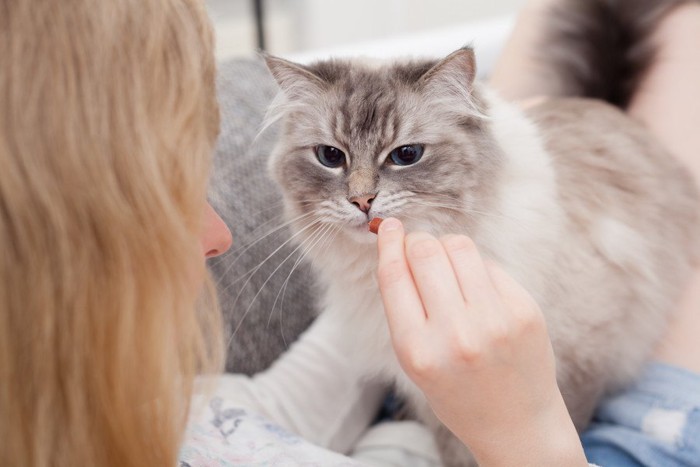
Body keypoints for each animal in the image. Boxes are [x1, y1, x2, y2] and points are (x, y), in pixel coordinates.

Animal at [262, 12, 696, 467]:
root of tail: (608, 107)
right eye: (330, 157)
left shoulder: (583, 362)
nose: (362, 201)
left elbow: (555, 429)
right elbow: (454, 447)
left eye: (406, 155)